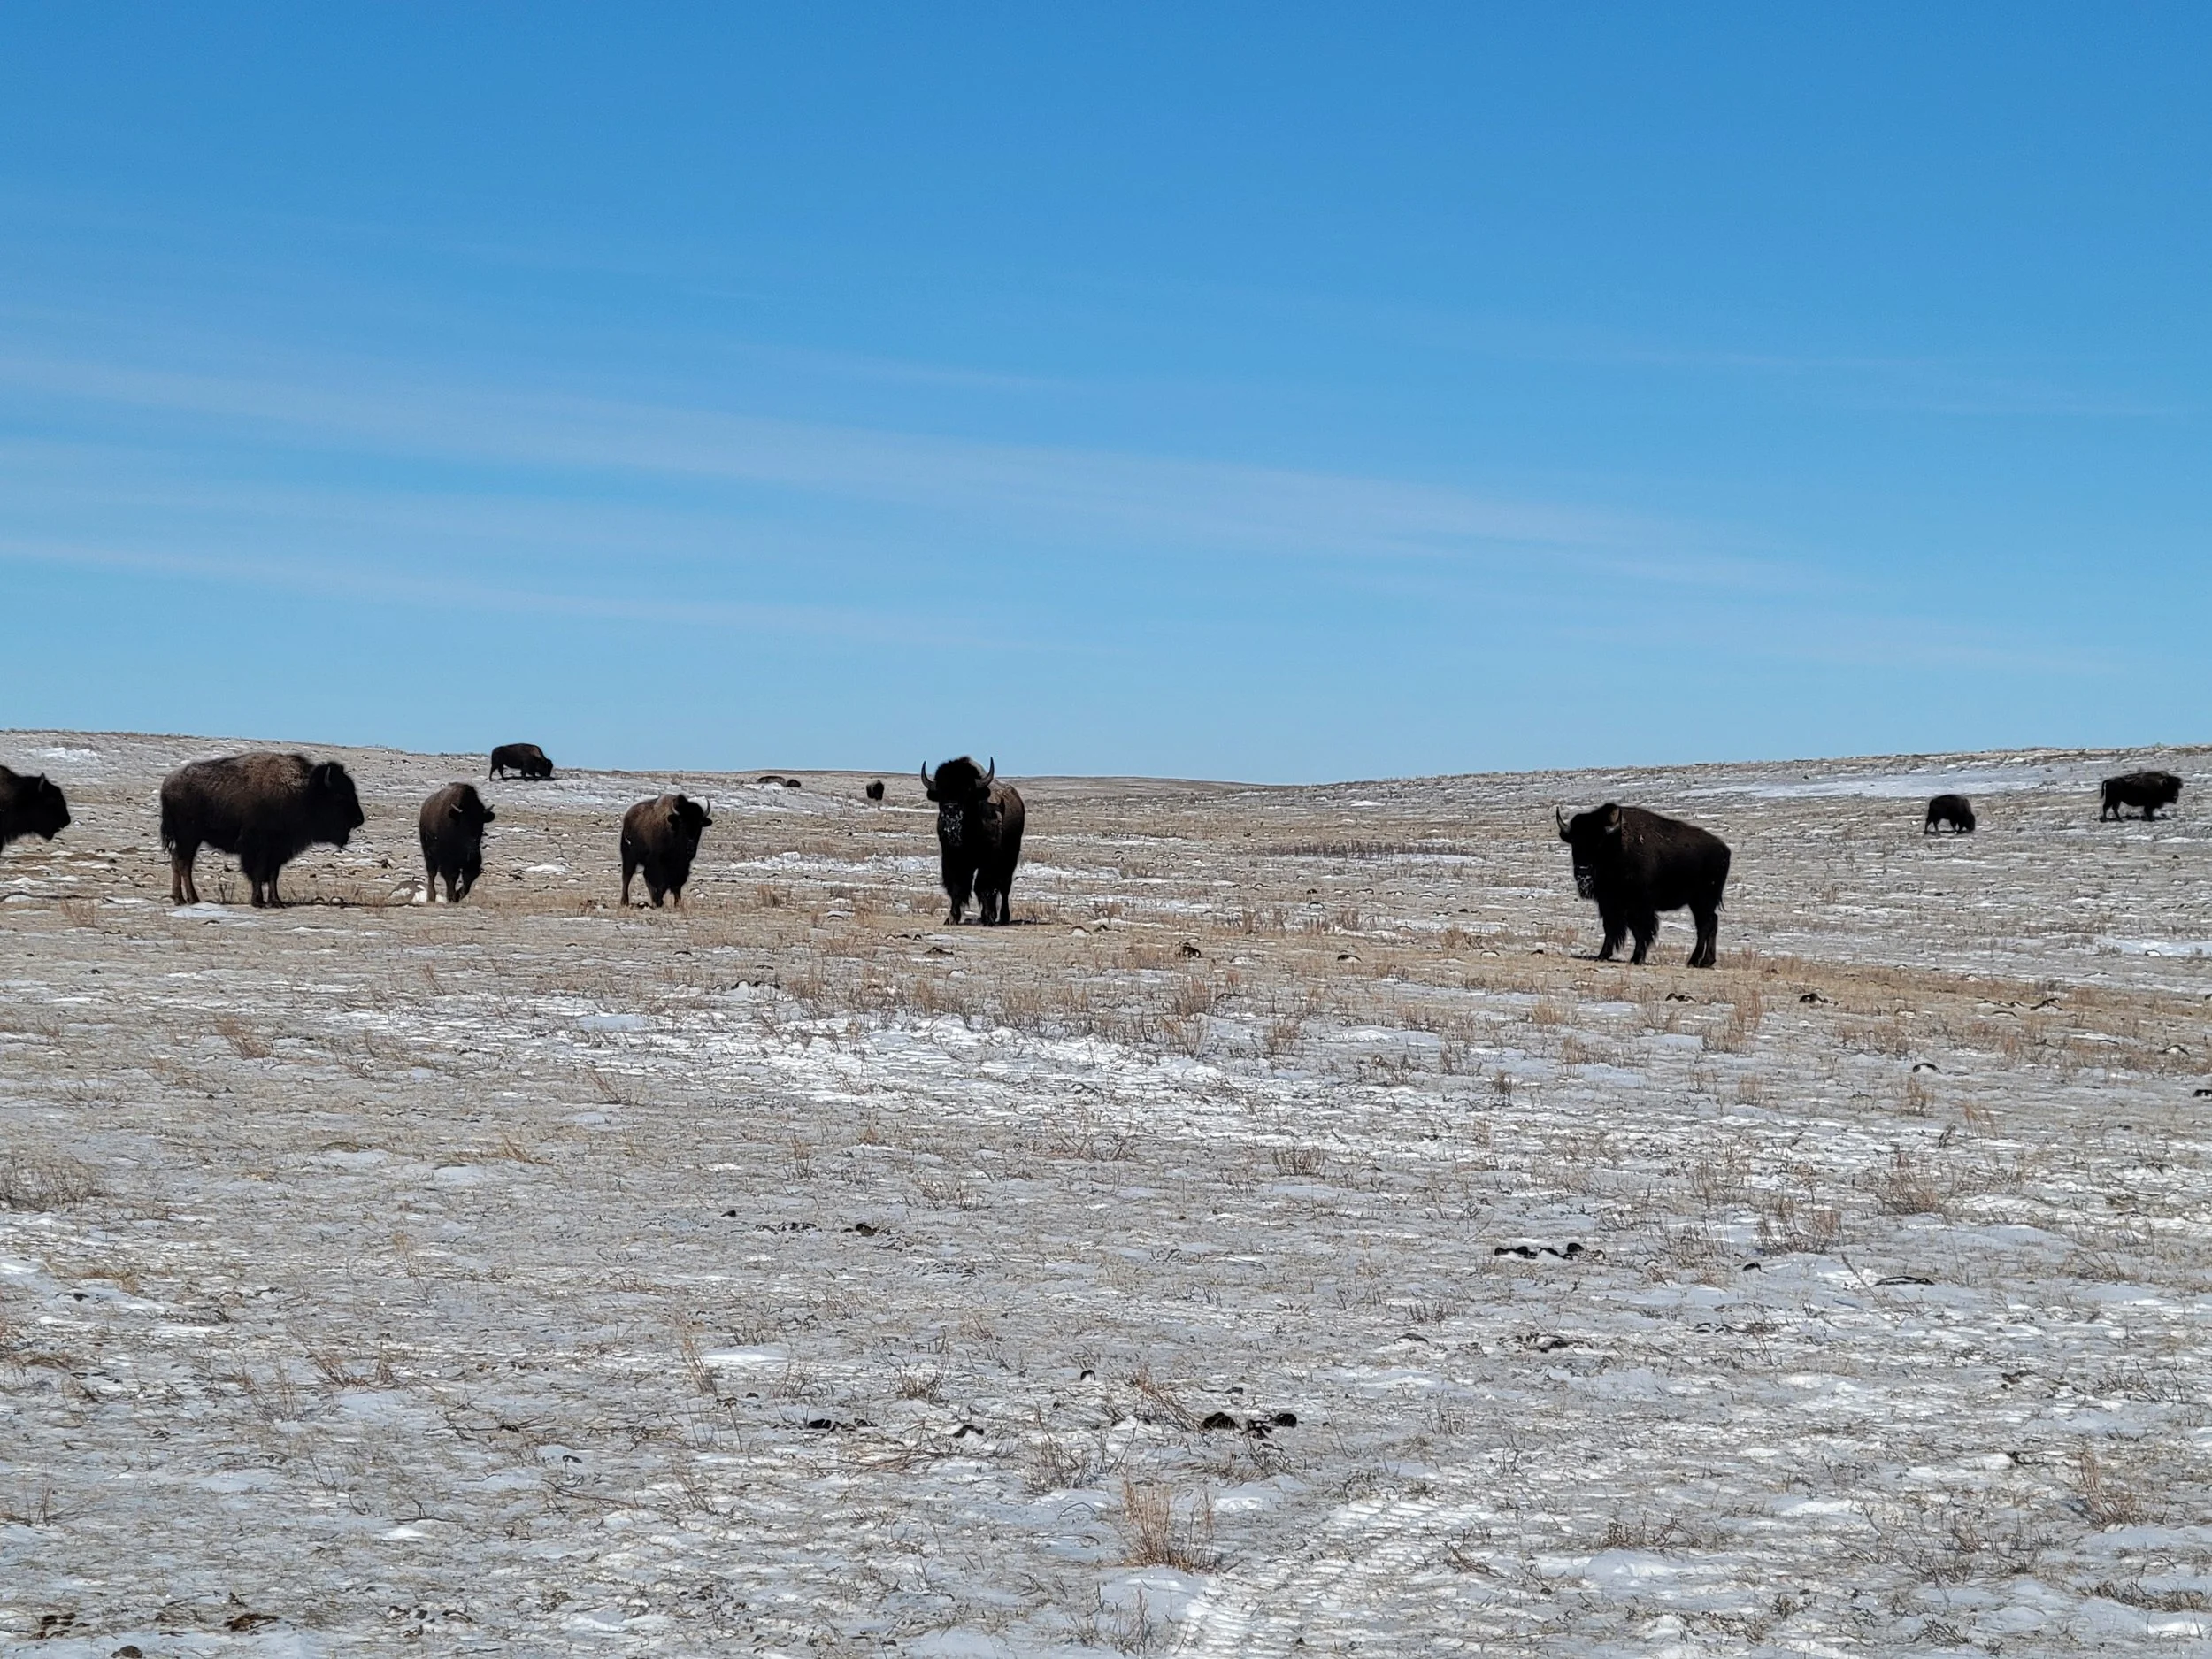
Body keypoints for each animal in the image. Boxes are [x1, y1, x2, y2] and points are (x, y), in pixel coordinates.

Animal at [160, 753, 366, 907]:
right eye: (340, 794)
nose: (359, 819)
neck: (302, 792)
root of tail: (167, 784)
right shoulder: (258, 847)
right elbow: (259, 873)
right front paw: (258, 901)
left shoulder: (278, 849)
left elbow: (273, 875)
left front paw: (276, 901)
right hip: (189, 837)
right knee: (183, 863)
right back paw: (189, 899)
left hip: (189, 839)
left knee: (178, 861)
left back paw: (182, 898)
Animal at [419, 783, 495, 903]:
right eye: (463, 823)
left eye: (481, 822)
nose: (472, 847)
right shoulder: (449, 861)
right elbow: (451, 877)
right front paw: (451, 896)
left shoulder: (472, 862)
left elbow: (468, 878)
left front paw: (457, 895)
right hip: (429, 854)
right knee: (432, 873)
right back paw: (431, 897)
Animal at [620, 793, 713, 908]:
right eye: (681, 821)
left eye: (699, 823)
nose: (690, 848)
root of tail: (628, 816)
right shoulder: (658, 864)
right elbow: (660, 883)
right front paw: (659, 901)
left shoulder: (681, 867)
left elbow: (677, 885)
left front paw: (677, 903)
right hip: (629, 857)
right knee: (627, 877)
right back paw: (625, 901)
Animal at [921, 755, 1025, 925]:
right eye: (941, 791)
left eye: (967, 790)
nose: (951, 808)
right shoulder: (952, 859)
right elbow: (957, 887)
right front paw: (951, 918)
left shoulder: (988, 861)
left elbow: (984, 886)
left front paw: (989, 917)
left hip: (1010, 858)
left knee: (1004, 887)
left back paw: (1002, 917)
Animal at [1556, 803, 1731, 968]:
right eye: (1574, 843)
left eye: (1599, 844)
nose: (1583, 873)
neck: (1616, 846)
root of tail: (1724, 850)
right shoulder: (1609, 904)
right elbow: (1612, 928)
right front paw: (1602, 955)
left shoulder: (1640, 906)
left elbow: (1641, 931)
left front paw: (1636, 958)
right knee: (1711, 923)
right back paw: (1706, 961)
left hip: (1702, 901)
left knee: (1705, 925)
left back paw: (1694, 961)